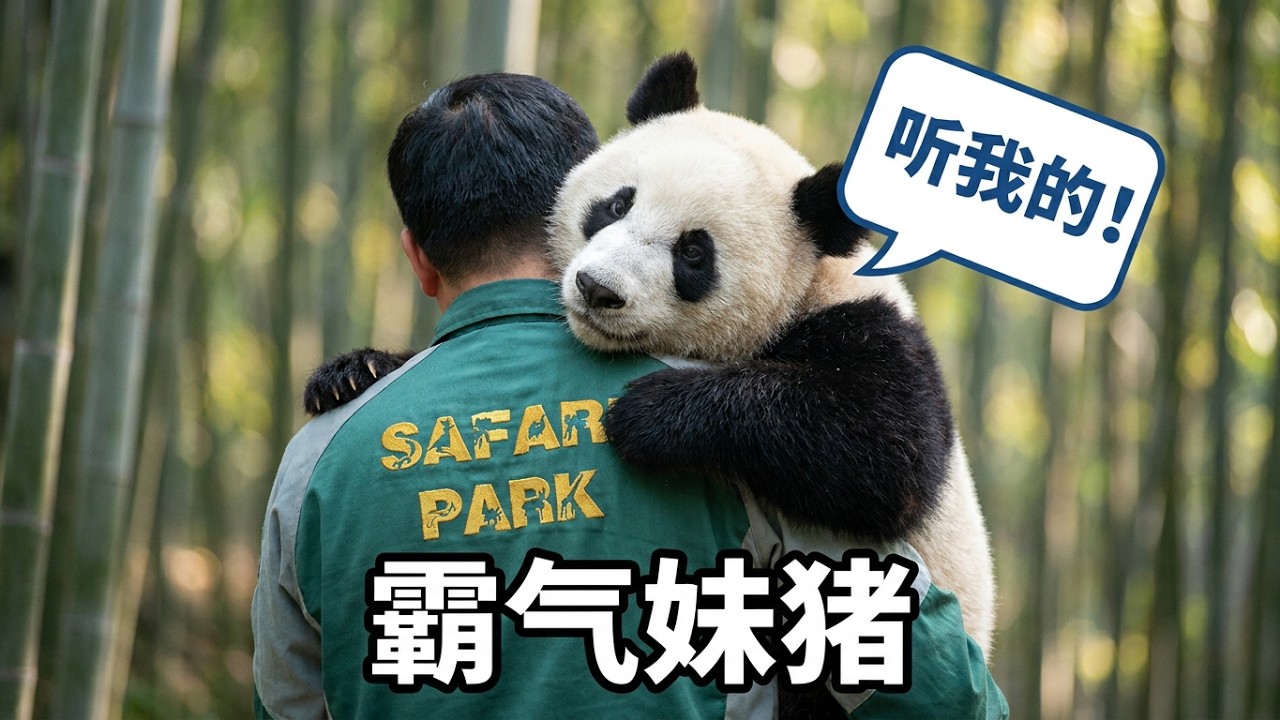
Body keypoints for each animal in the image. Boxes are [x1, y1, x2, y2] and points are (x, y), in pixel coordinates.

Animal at [305, 52, 995, 661]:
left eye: (694, 253)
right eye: (617, 203)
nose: (597, 289)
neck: (806, 289)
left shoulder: (868, 329)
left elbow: (885, 450)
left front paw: (650, 414)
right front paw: (352, 371)